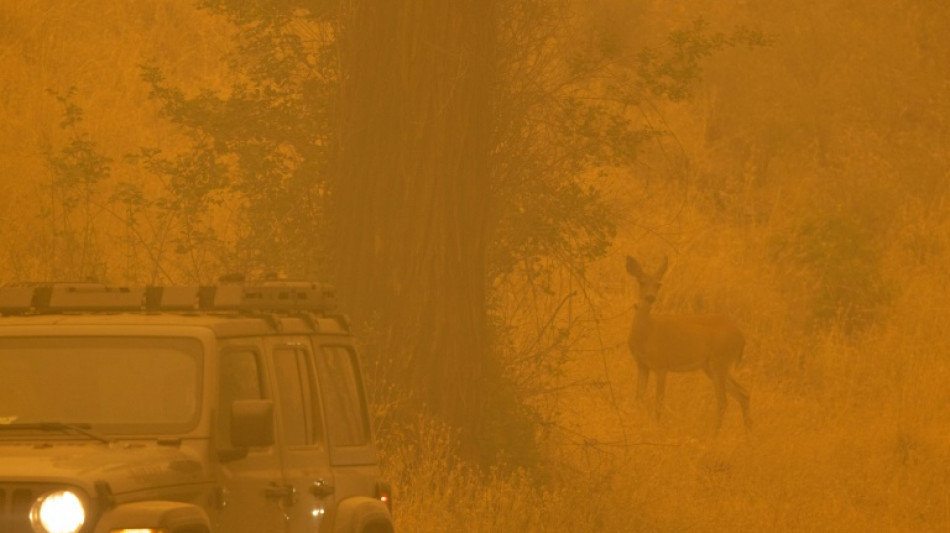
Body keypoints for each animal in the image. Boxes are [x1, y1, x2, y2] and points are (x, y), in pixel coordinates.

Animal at [628, 255, 756, 428]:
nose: (650, 297)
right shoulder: (642, 365)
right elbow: (638, 399)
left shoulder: (661, 365)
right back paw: (748, 433)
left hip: (719, 361)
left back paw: (713, 432)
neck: (647, 333)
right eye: (641, 282)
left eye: (658, 284)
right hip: (711, 366)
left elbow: (659, 402)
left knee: (723, 401)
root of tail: (741, 337)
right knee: (743, 393)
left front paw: (657, 427)